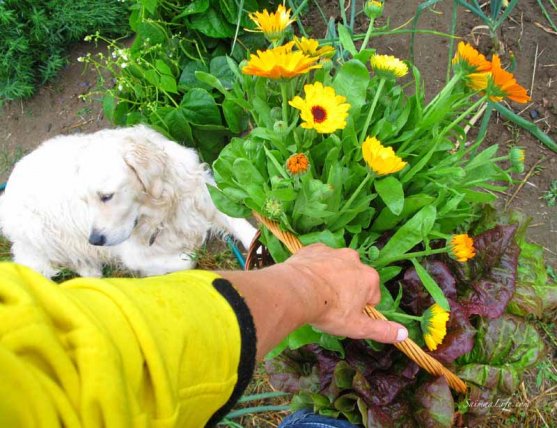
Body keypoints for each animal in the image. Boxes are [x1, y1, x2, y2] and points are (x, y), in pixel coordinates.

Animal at [0, 123, 256, 278]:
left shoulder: (203, 193)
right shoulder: (135, 255)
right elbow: (188, 260)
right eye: (85, 201)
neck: (161, 209)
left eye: (106, 196)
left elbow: (242, 225)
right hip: (38, 238)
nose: (95, 240)